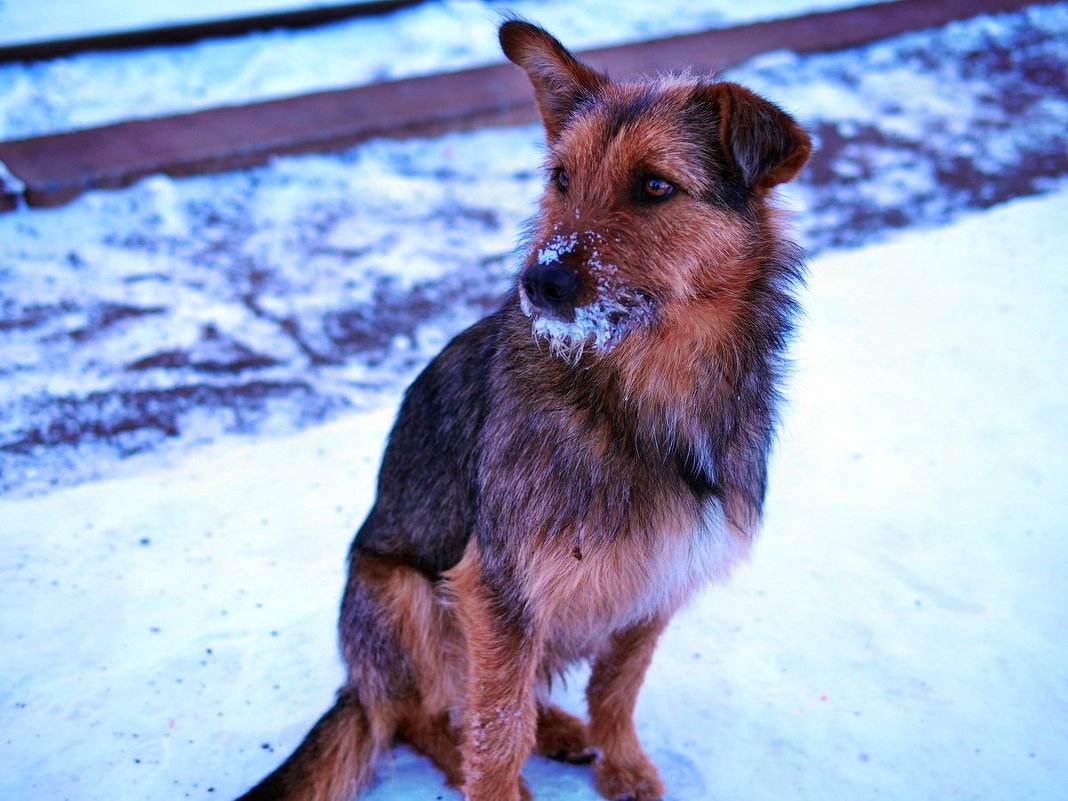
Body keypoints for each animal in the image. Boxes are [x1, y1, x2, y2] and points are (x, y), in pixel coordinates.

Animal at [238, 17, 807, 801]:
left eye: (655, 185)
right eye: (560, 178)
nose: (540, 283)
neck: (640, 393)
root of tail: (356, 683)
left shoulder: (658, 581)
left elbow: (616, 687)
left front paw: (621, 762)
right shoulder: (499, 587)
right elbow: (496, 729)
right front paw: (503, 779)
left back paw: (562, 728)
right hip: (403, 593)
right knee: (423, 716)